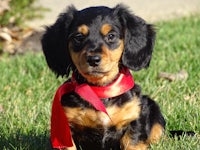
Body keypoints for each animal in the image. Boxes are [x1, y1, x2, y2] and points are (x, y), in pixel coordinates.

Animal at [41, 4, 166, 149]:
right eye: (78, 37)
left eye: (111, 36)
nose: (93, 59)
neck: (100, 91)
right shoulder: (66, 128)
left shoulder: (134, 118)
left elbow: (132, 142)